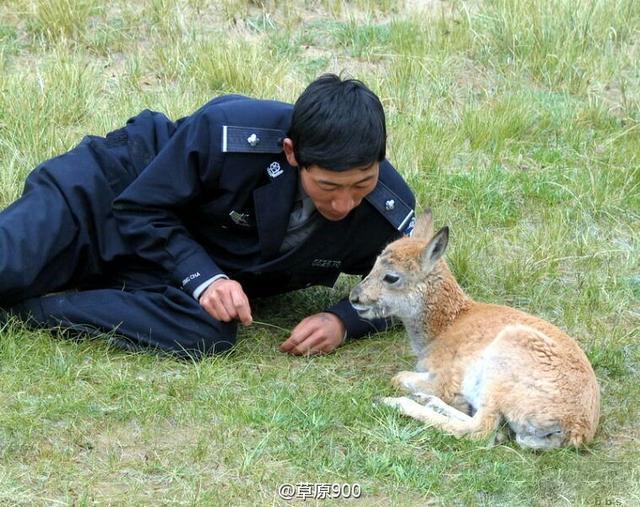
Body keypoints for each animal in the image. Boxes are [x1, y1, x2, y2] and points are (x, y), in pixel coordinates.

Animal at [350, 212, 600, 450]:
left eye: (392, 276)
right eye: (374, 263)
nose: (355, 298)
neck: (444, 328)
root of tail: (576, 429)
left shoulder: (446, 377)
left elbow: (400, 377)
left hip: (503, 364)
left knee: (481, 431)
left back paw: (397, 402)